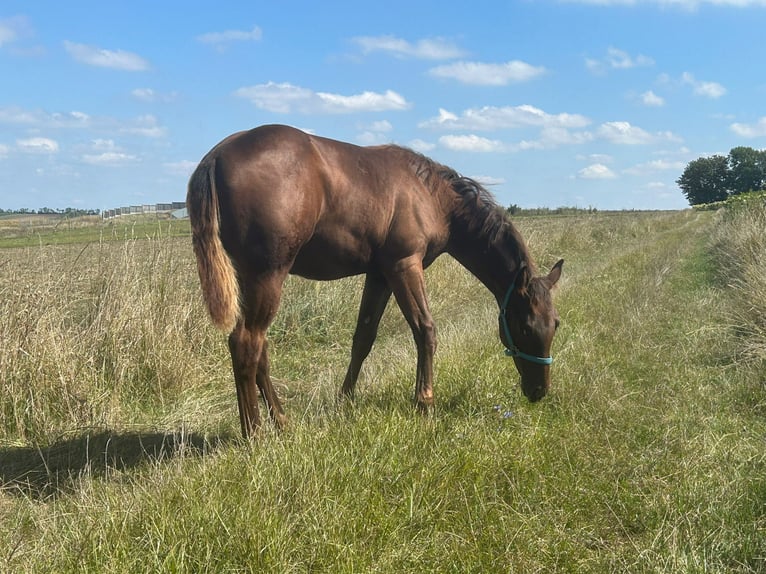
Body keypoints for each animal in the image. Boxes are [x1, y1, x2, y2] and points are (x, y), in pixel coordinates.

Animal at [187, 124, 563, 438]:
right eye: (525, 326)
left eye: (555, 323)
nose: (538, 391)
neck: (432, 195)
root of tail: (216, 157)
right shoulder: (404, 266)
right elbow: (425, 330)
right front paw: (424, 402)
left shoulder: (379, 275)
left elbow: (363, 338)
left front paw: (345, 399)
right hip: (268, 275)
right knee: (246, 343)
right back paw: (254, 434)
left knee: (259, 347)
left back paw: (281, 420)